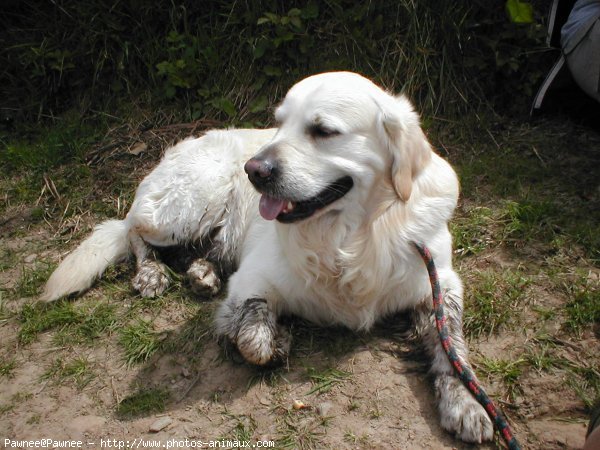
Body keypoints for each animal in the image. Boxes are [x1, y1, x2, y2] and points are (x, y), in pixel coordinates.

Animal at [41, 73, 492, 442]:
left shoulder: (438, 281)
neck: (351, 238)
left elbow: (451, 347)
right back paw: (152, 272)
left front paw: (467, 403)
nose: (253, 170)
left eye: (323, 130)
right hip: (188, 203)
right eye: (279, 123)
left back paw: (202, 272)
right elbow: (251, 338)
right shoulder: (253, 280)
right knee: (132, 229)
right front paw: (277, 342)